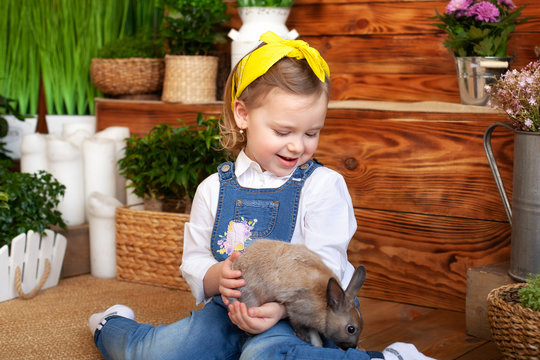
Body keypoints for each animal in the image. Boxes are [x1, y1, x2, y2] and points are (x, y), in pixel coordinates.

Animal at [230, 239, 364, 348]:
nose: (353, 346)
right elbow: (300, 326)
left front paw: (317, 344)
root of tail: (236, 266)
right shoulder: (297, 313)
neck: (325, 308)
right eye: (351, 329)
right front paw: (305, 338)